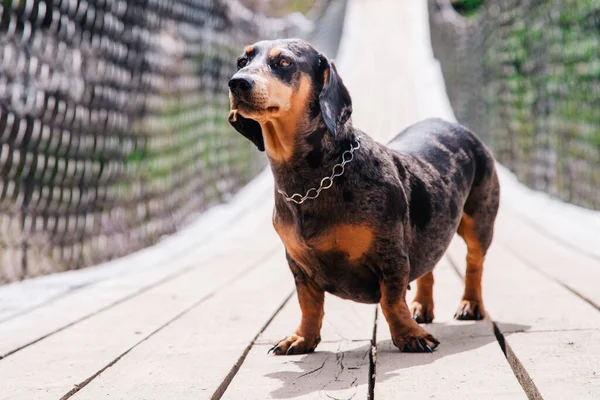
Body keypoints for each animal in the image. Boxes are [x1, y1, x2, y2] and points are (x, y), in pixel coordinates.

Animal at [227, 39, 500, 354]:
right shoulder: (298, 265)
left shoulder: (390, 256)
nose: (237, 83)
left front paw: (410, 336)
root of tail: (457, 127)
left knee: (474, 264)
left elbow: (391, 301)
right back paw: (422, 306)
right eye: (241, 62)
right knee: (428, 268)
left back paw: (470, 304)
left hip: (479, 224)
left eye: (284, 62)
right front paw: (301, 338)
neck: (311, 182)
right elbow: (309, 305)